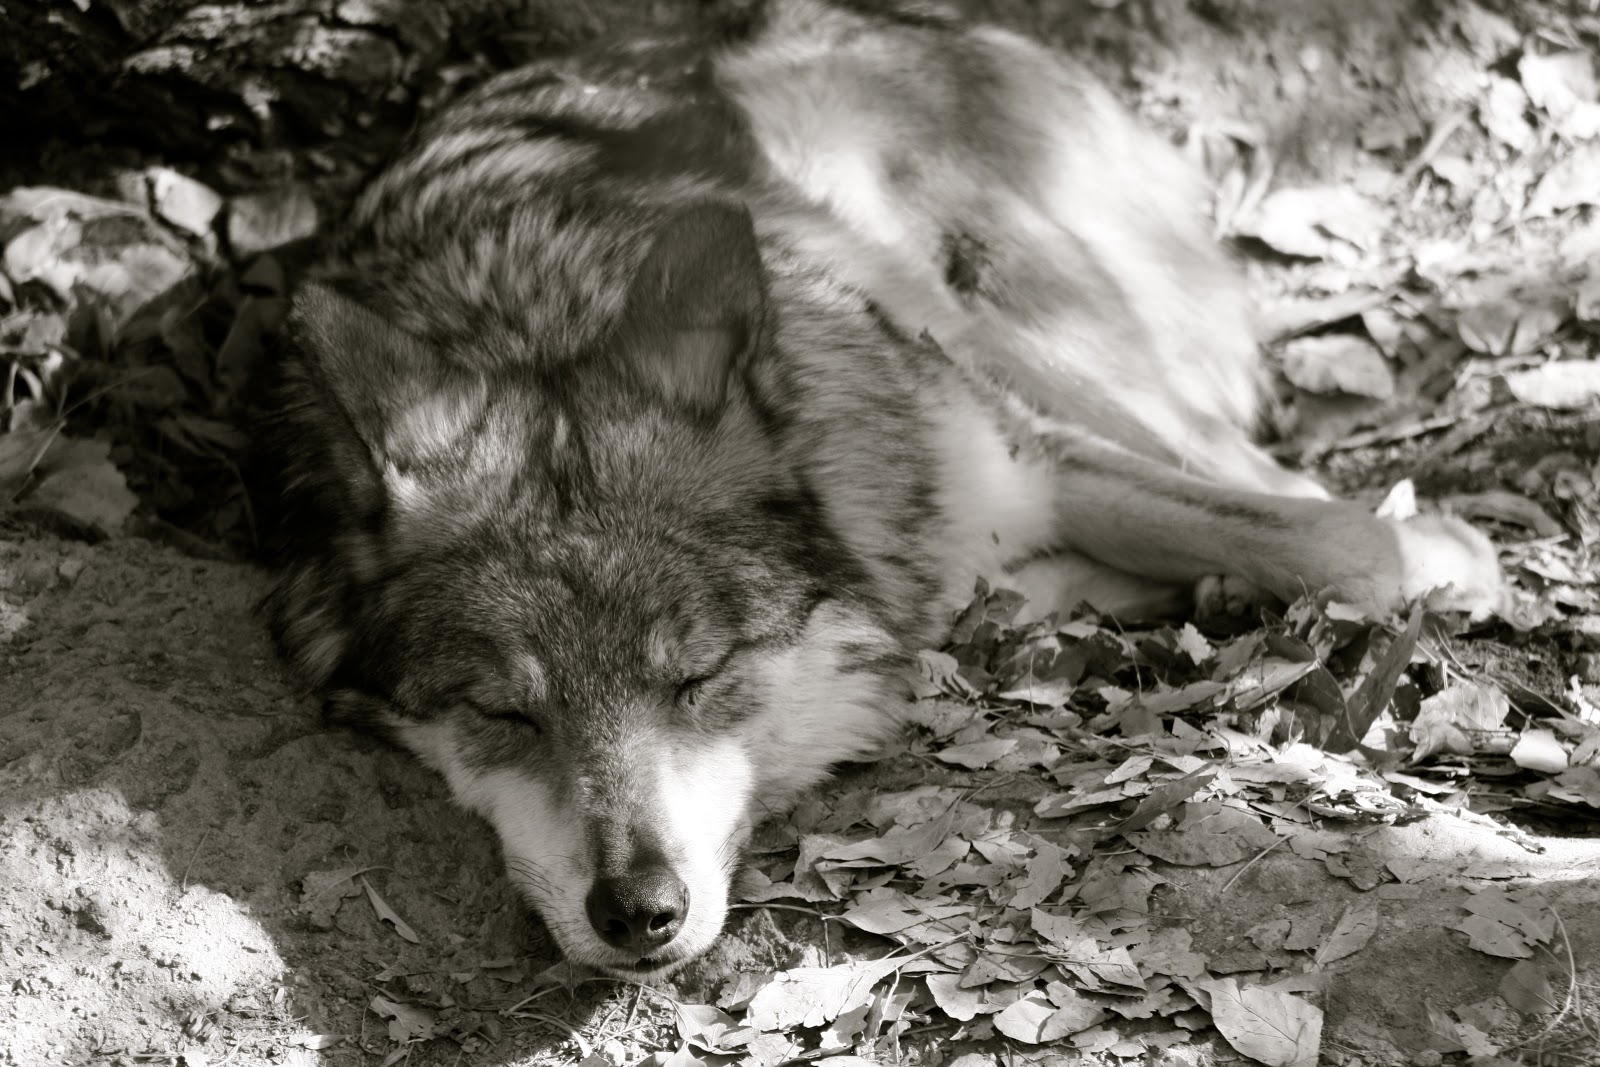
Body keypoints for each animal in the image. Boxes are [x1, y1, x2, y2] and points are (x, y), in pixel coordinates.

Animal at [261, 0, 1503, 979]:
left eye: (698, 676)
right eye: (504, 714)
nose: (635, 910)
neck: (534, 322)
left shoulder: (1025, 456)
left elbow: (1332, 540)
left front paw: (1447, 556)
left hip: (999, 306)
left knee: (1240, 454)